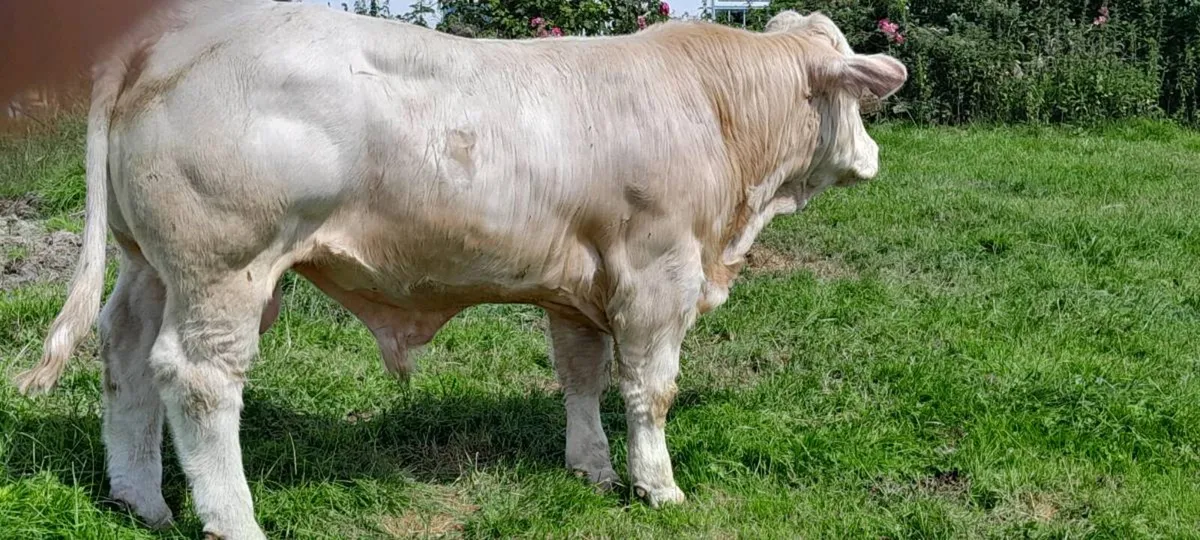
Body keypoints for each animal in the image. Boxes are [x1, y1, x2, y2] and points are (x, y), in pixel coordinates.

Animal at [14, 1, 906, 537]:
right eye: (859, 94)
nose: (874, 159)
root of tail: (172, 34)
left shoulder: (578, 287)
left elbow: (580, 376)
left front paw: (590, 469)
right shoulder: (659, 274)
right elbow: (650, 388)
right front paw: (658, 486)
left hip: (150, 263)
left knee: (127, 354)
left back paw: (141, 499)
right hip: (225, 266)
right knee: (196, 378)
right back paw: (234, 520)